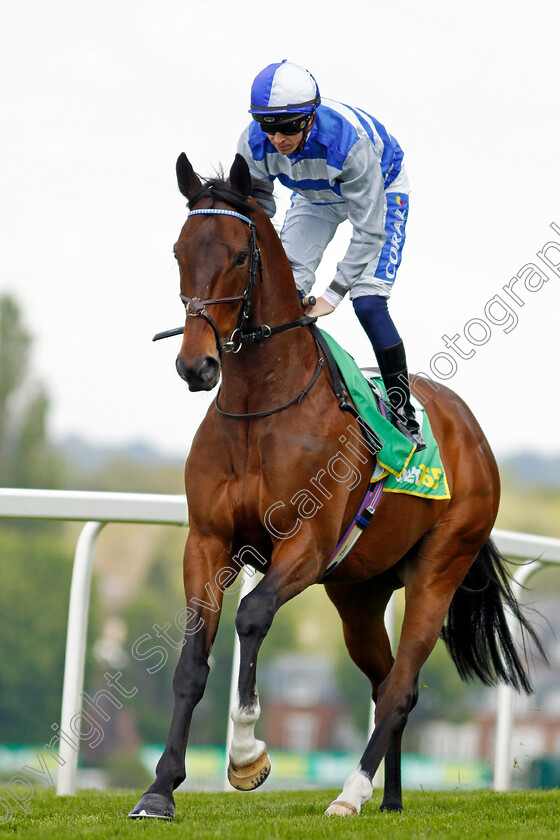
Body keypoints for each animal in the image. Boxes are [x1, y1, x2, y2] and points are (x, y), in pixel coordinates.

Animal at [129, 154, 540, 816]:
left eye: (239, 256)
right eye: (178, 251)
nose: (196, 365)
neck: (260, 407)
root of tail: (471, 432)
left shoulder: (307, 542)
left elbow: (252, 615)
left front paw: (247, 756)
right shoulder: (207, 541)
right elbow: (192, 661)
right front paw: (160, 788)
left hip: (438, 568)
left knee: (401, 685)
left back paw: (351, 792)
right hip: (359, 592)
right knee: (386, 681)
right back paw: (389, 797)